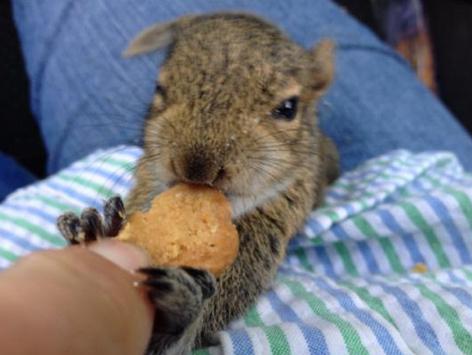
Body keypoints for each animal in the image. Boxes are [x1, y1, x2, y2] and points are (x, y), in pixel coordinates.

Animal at [57, 12, 340, 354]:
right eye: (160, 88)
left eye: (289, 108)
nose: (196, 167)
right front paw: (97, 227)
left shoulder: (259, 243)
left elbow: (192, 334)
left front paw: (176, 315)